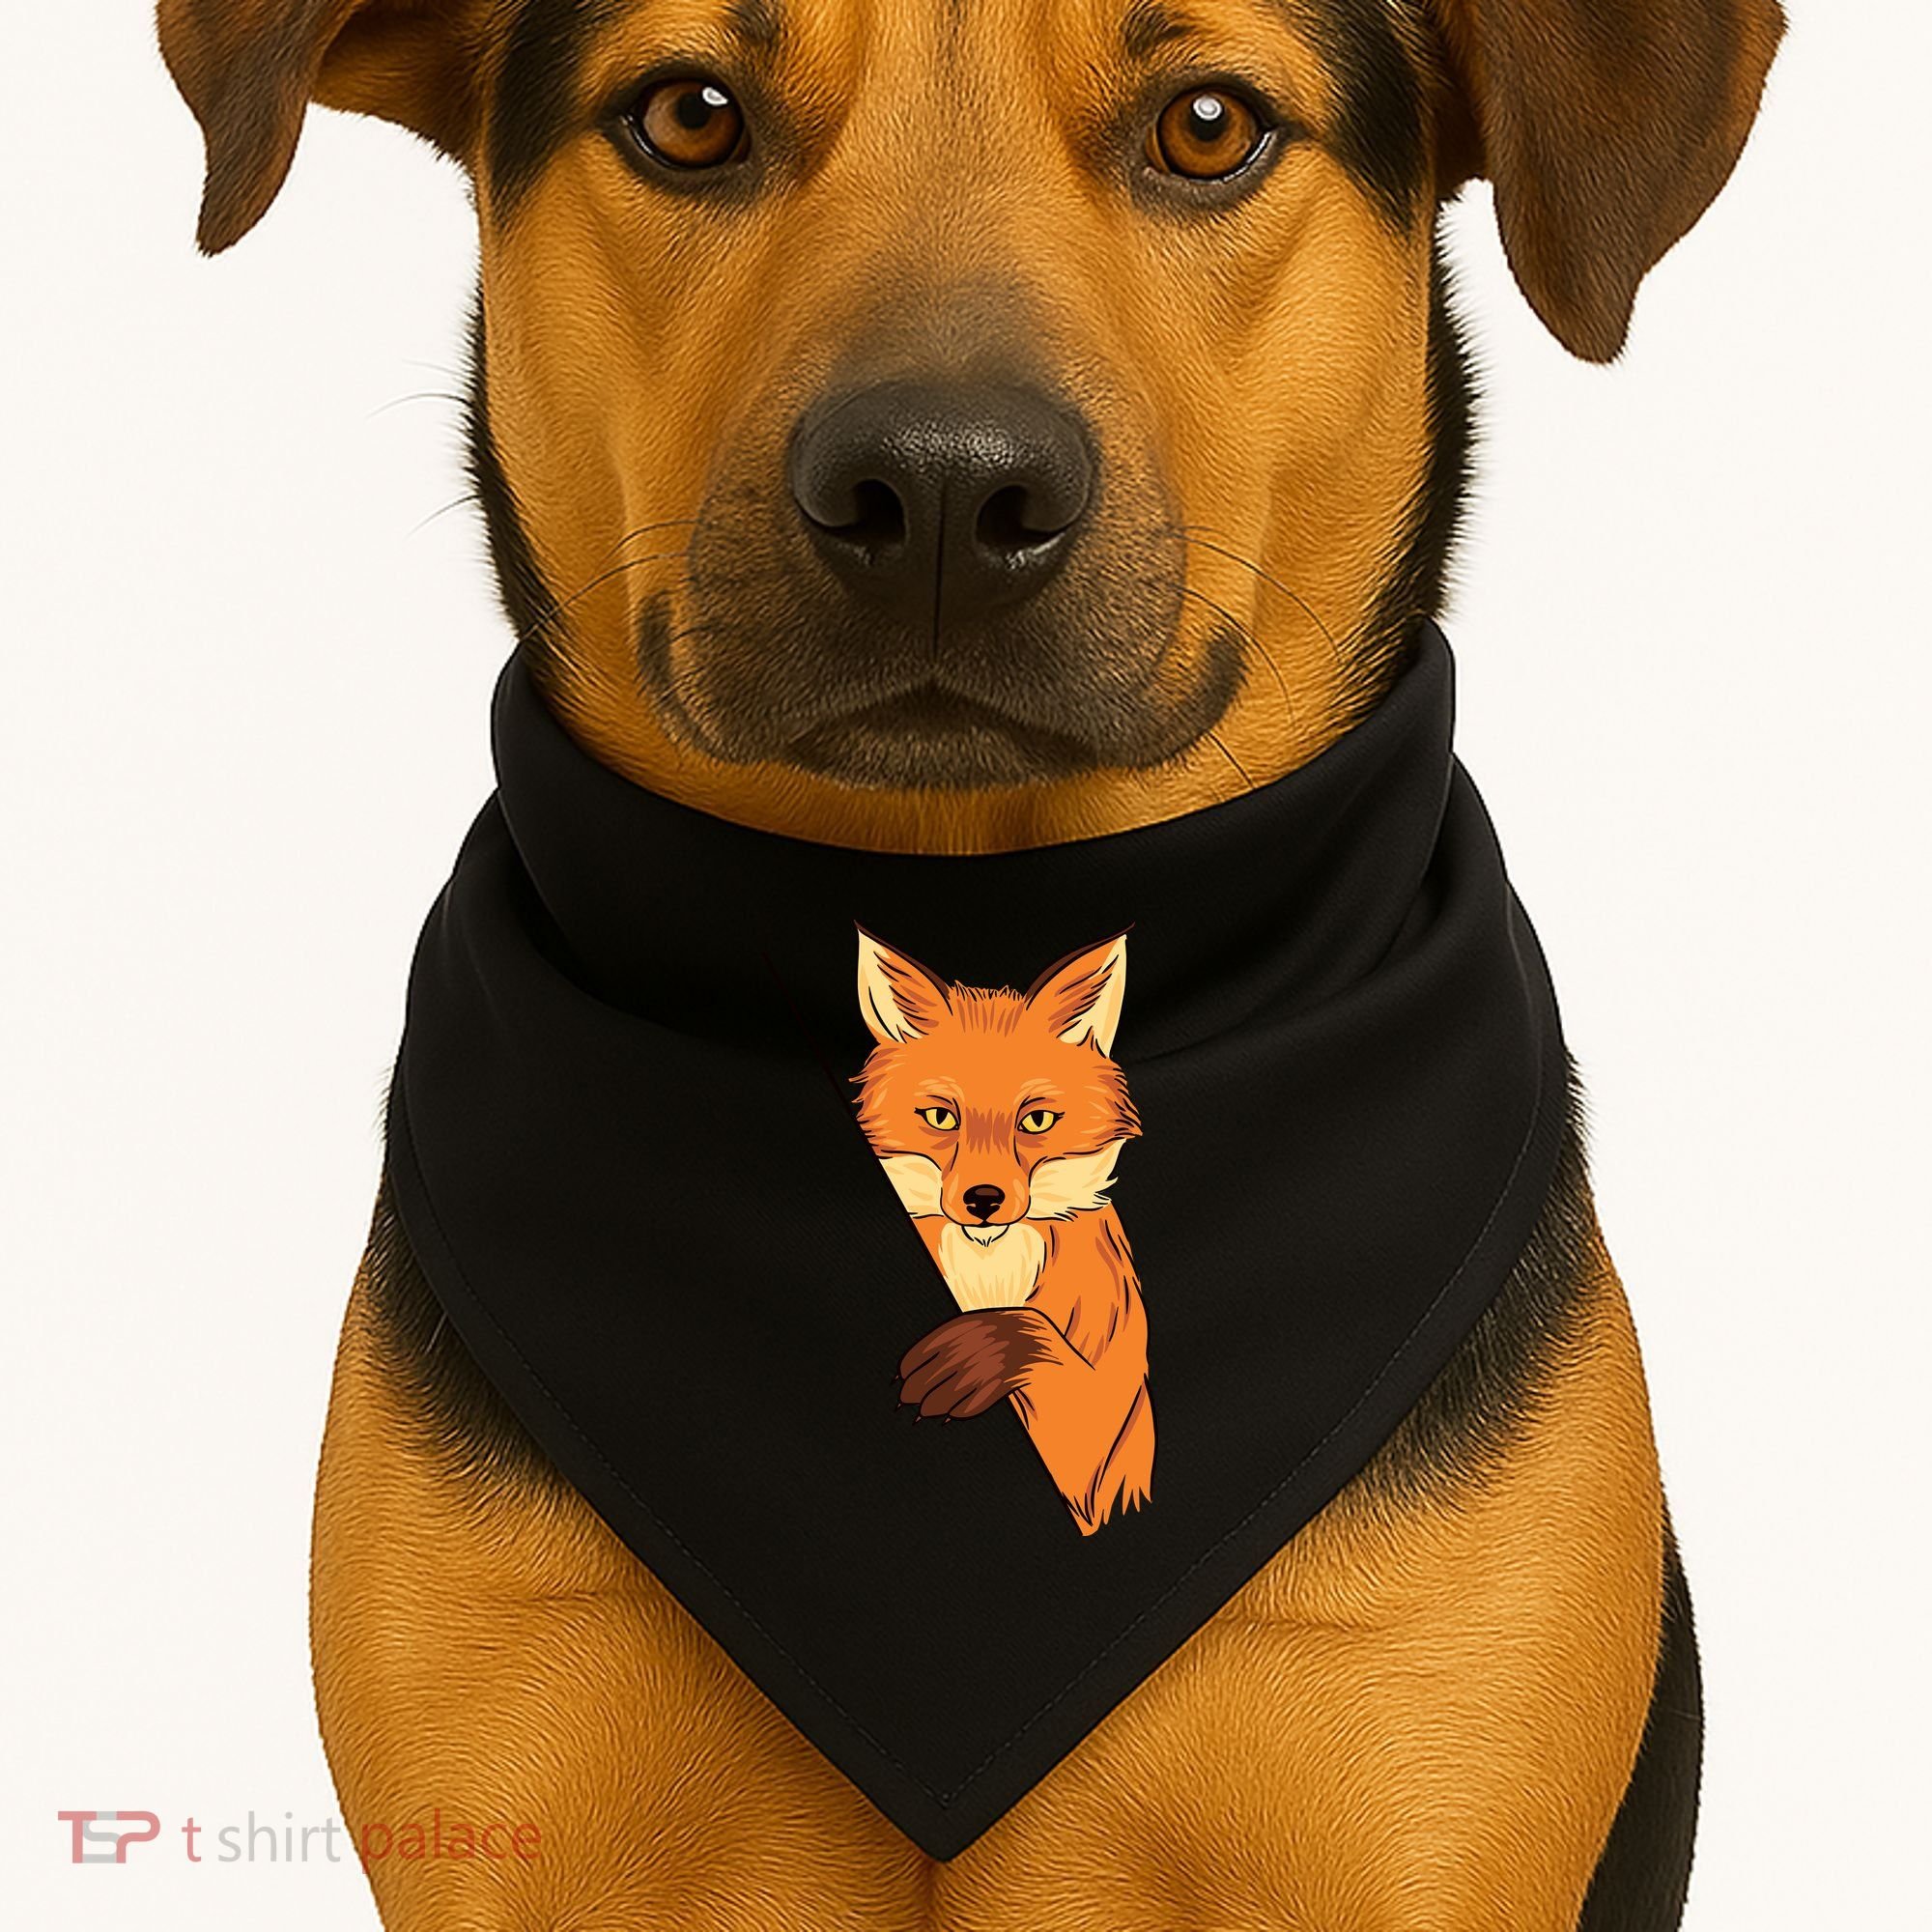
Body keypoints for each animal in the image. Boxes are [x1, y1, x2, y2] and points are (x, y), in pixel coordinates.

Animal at [853, 926, 1152, 1535]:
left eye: (1034, 1120)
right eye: (941, 1117)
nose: (983, 1201)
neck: (989, 1271)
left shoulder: (1102, 1443)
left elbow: (1035, 1337)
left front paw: (973, 1358)